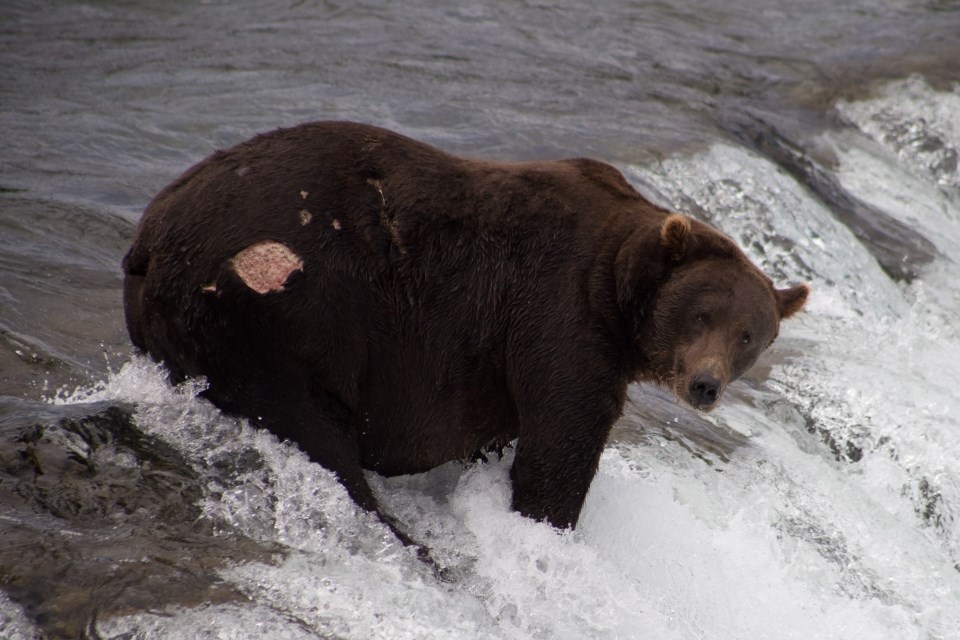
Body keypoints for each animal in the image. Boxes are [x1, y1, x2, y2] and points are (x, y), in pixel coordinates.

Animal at [124, 120, 808, 540]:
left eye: (749, 336)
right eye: (702, 315)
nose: (705, 385)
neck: (616, 290)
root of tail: (149, 237)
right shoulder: (557, 315)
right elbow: (562, 440)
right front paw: (546, 522)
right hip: (276, 315)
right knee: (313, 432)